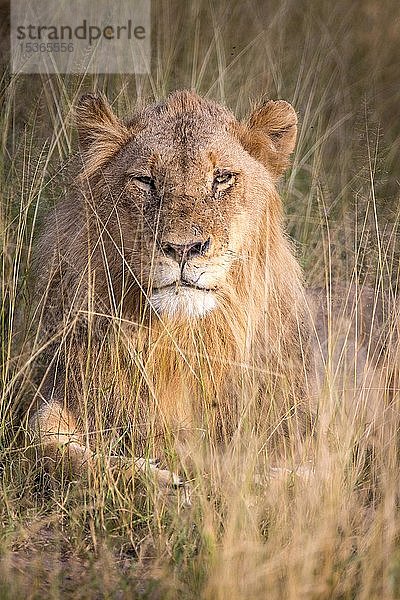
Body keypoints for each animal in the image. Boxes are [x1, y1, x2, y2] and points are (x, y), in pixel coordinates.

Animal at [28, 90, 316, 488]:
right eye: (145, 180)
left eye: (222, 178)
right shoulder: (69, 391)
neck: (177, 340)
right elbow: (44, 440)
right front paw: (160, 481)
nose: (182, 248)